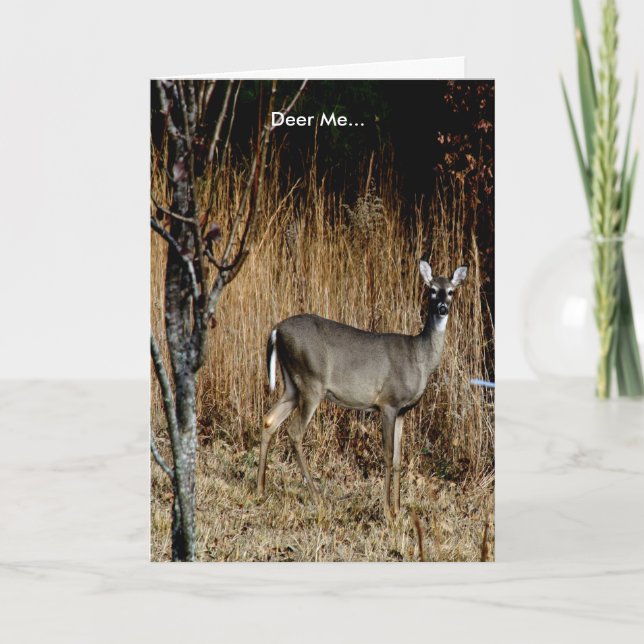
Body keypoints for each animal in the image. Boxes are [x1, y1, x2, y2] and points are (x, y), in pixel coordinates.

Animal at [257, 261, 467, 518]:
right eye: (432, 290)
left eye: (451, 291)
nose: (442, 309)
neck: (419, 358)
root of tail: (277, 330)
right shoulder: (388, 403)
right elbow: (387, 455)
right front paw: (387, 511)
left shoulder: (403, 411)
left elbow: (399, 459)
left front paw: (398, 510)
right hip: (311, 382)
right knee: (294, 431)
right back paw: (317, 498)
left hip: (292, 385)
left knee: (269, 419)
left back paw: (260, 489)